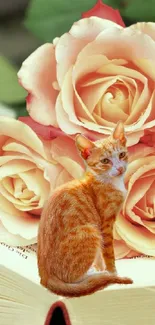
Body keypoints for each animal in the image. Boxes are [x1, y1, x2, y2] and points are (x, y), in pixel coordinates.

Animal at [37, 121, 133, 296]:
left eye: (122, 155)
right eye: (105, 161)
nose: (120, 168)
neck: (108, 180)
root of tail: (45, 277)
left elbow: (100, 255)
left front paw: (100, 266)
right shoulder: (105, 224)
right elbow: (108, 253)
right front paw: (112, 272)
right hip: (90, 230)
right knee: (73, 279)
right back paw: (97, 276)